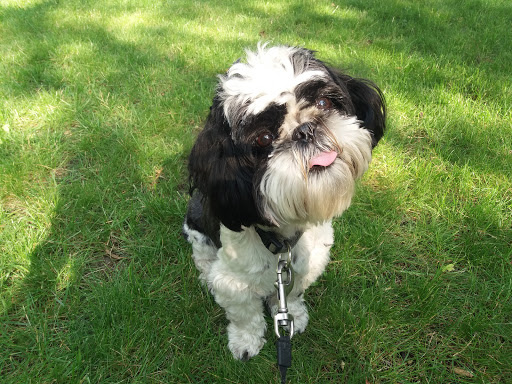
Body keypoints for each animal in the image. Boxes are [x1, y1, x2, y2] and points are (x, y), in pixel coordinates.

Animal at [183, 44, 384, 360]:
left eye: (324, 103)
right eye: (264, 138)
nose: (306, 130)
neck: (283, 240)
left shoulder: (305, 264)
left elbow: (293, 292)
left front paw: (294, 316)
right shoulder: (234, 281)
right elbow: (244, 314)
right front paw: (246, 341)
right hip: (196, 223)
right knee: (202, 253)